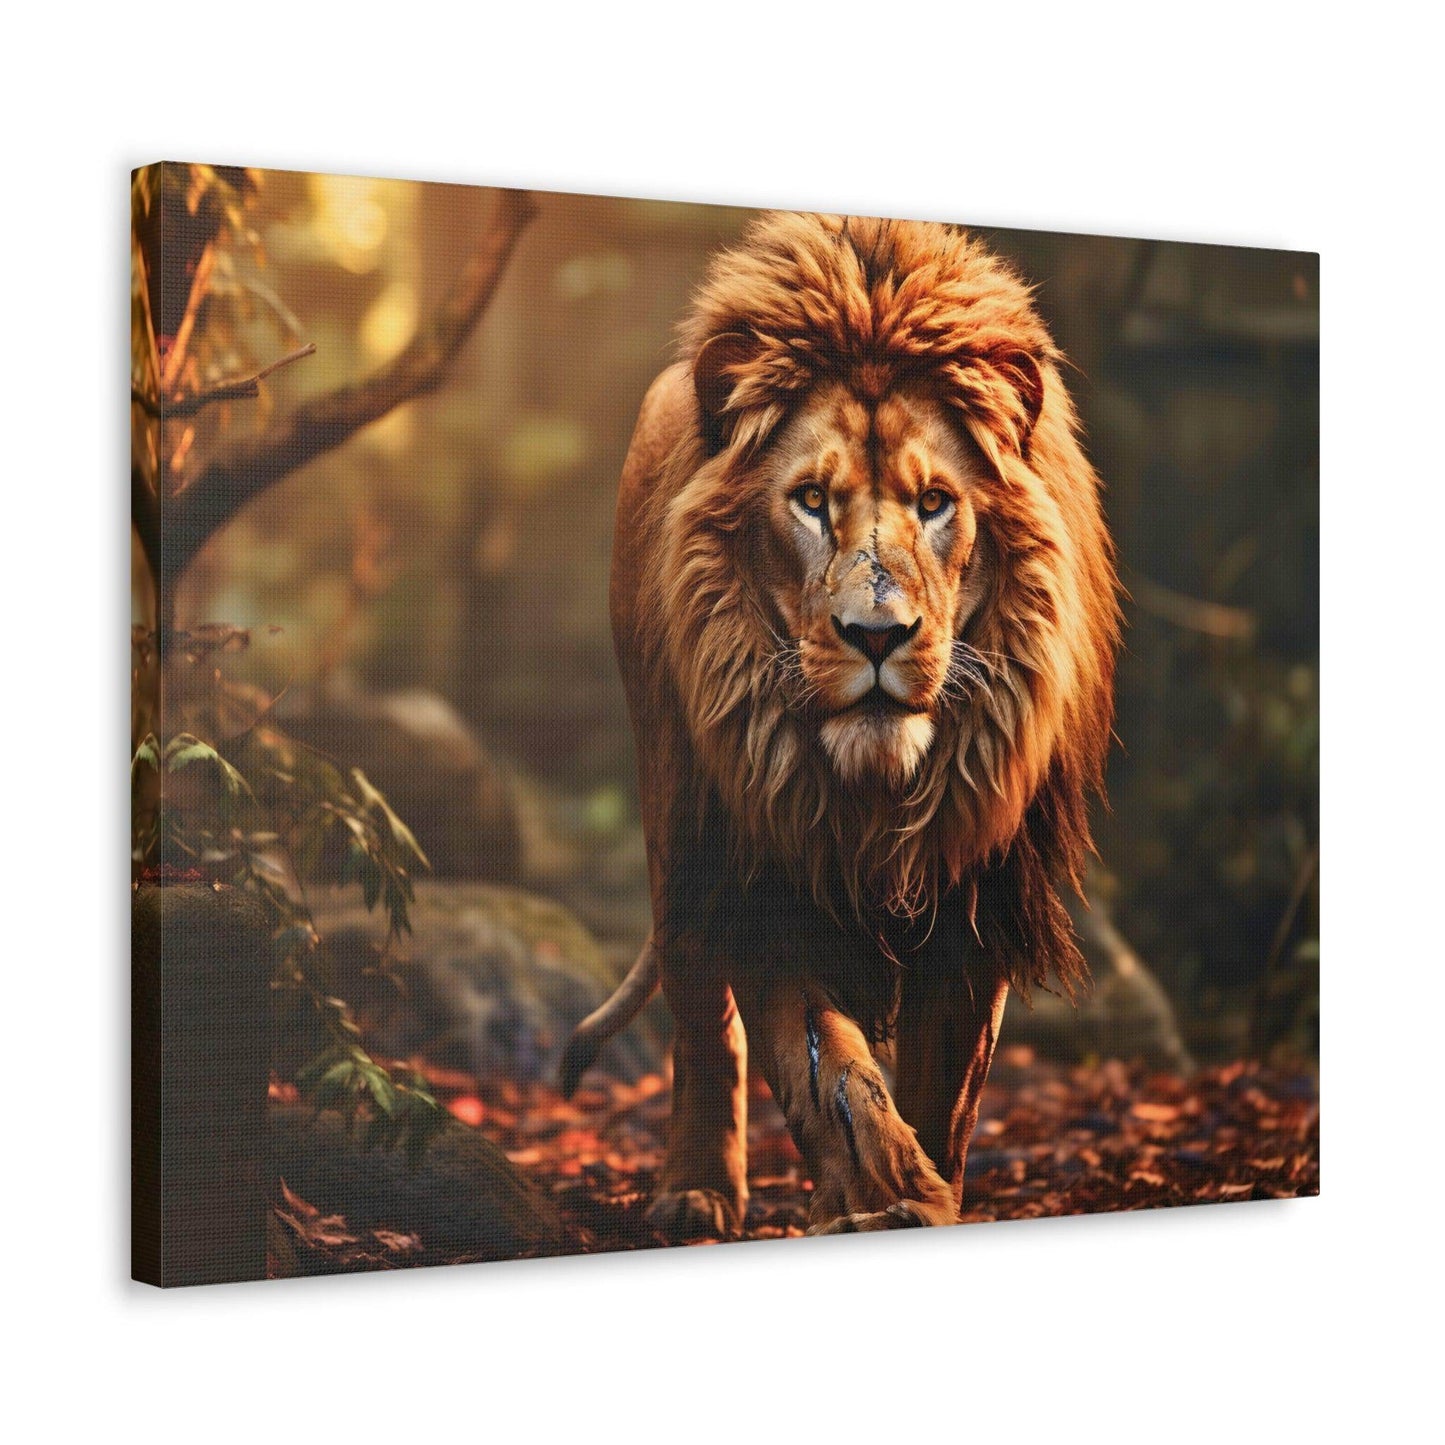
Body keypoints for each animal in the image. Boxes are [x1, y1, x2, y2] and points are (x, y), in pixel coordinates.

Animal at [560, 212, 1121, 1239]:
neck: (878, 795)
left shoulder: (973, 900)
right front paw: (885, 1194)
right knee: (701, 1015)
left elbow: (943, 1091)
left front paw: (922, 1193)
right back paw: (695, 1189)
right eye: (812, 500)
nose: (876, 634)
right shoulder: (765, 873)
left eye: (935, 503)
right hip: (676, 815)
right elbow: (828, 1074)